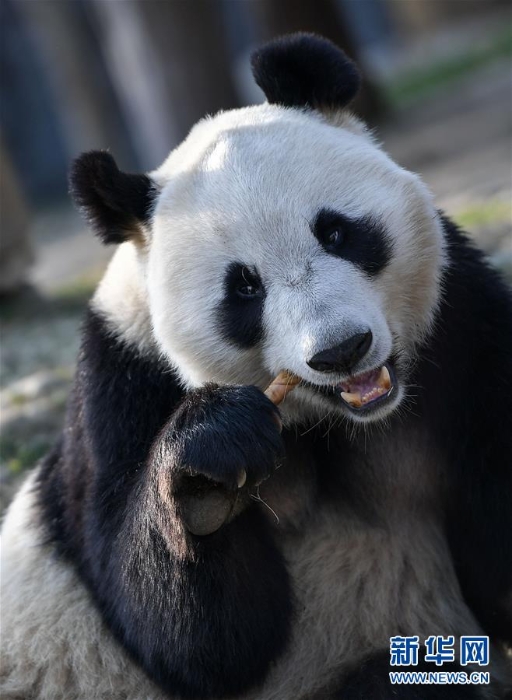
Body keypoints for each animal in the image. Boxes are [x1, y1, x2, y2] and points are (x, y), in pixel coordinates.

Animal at [1, 31, 512, 700]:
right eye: (243, 287)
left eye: (336, 232)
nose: (341, 350)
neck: (337, 426)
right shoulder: (121, 389)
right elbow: (192, 644)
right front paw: (208, 467)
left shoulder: (463, 331)